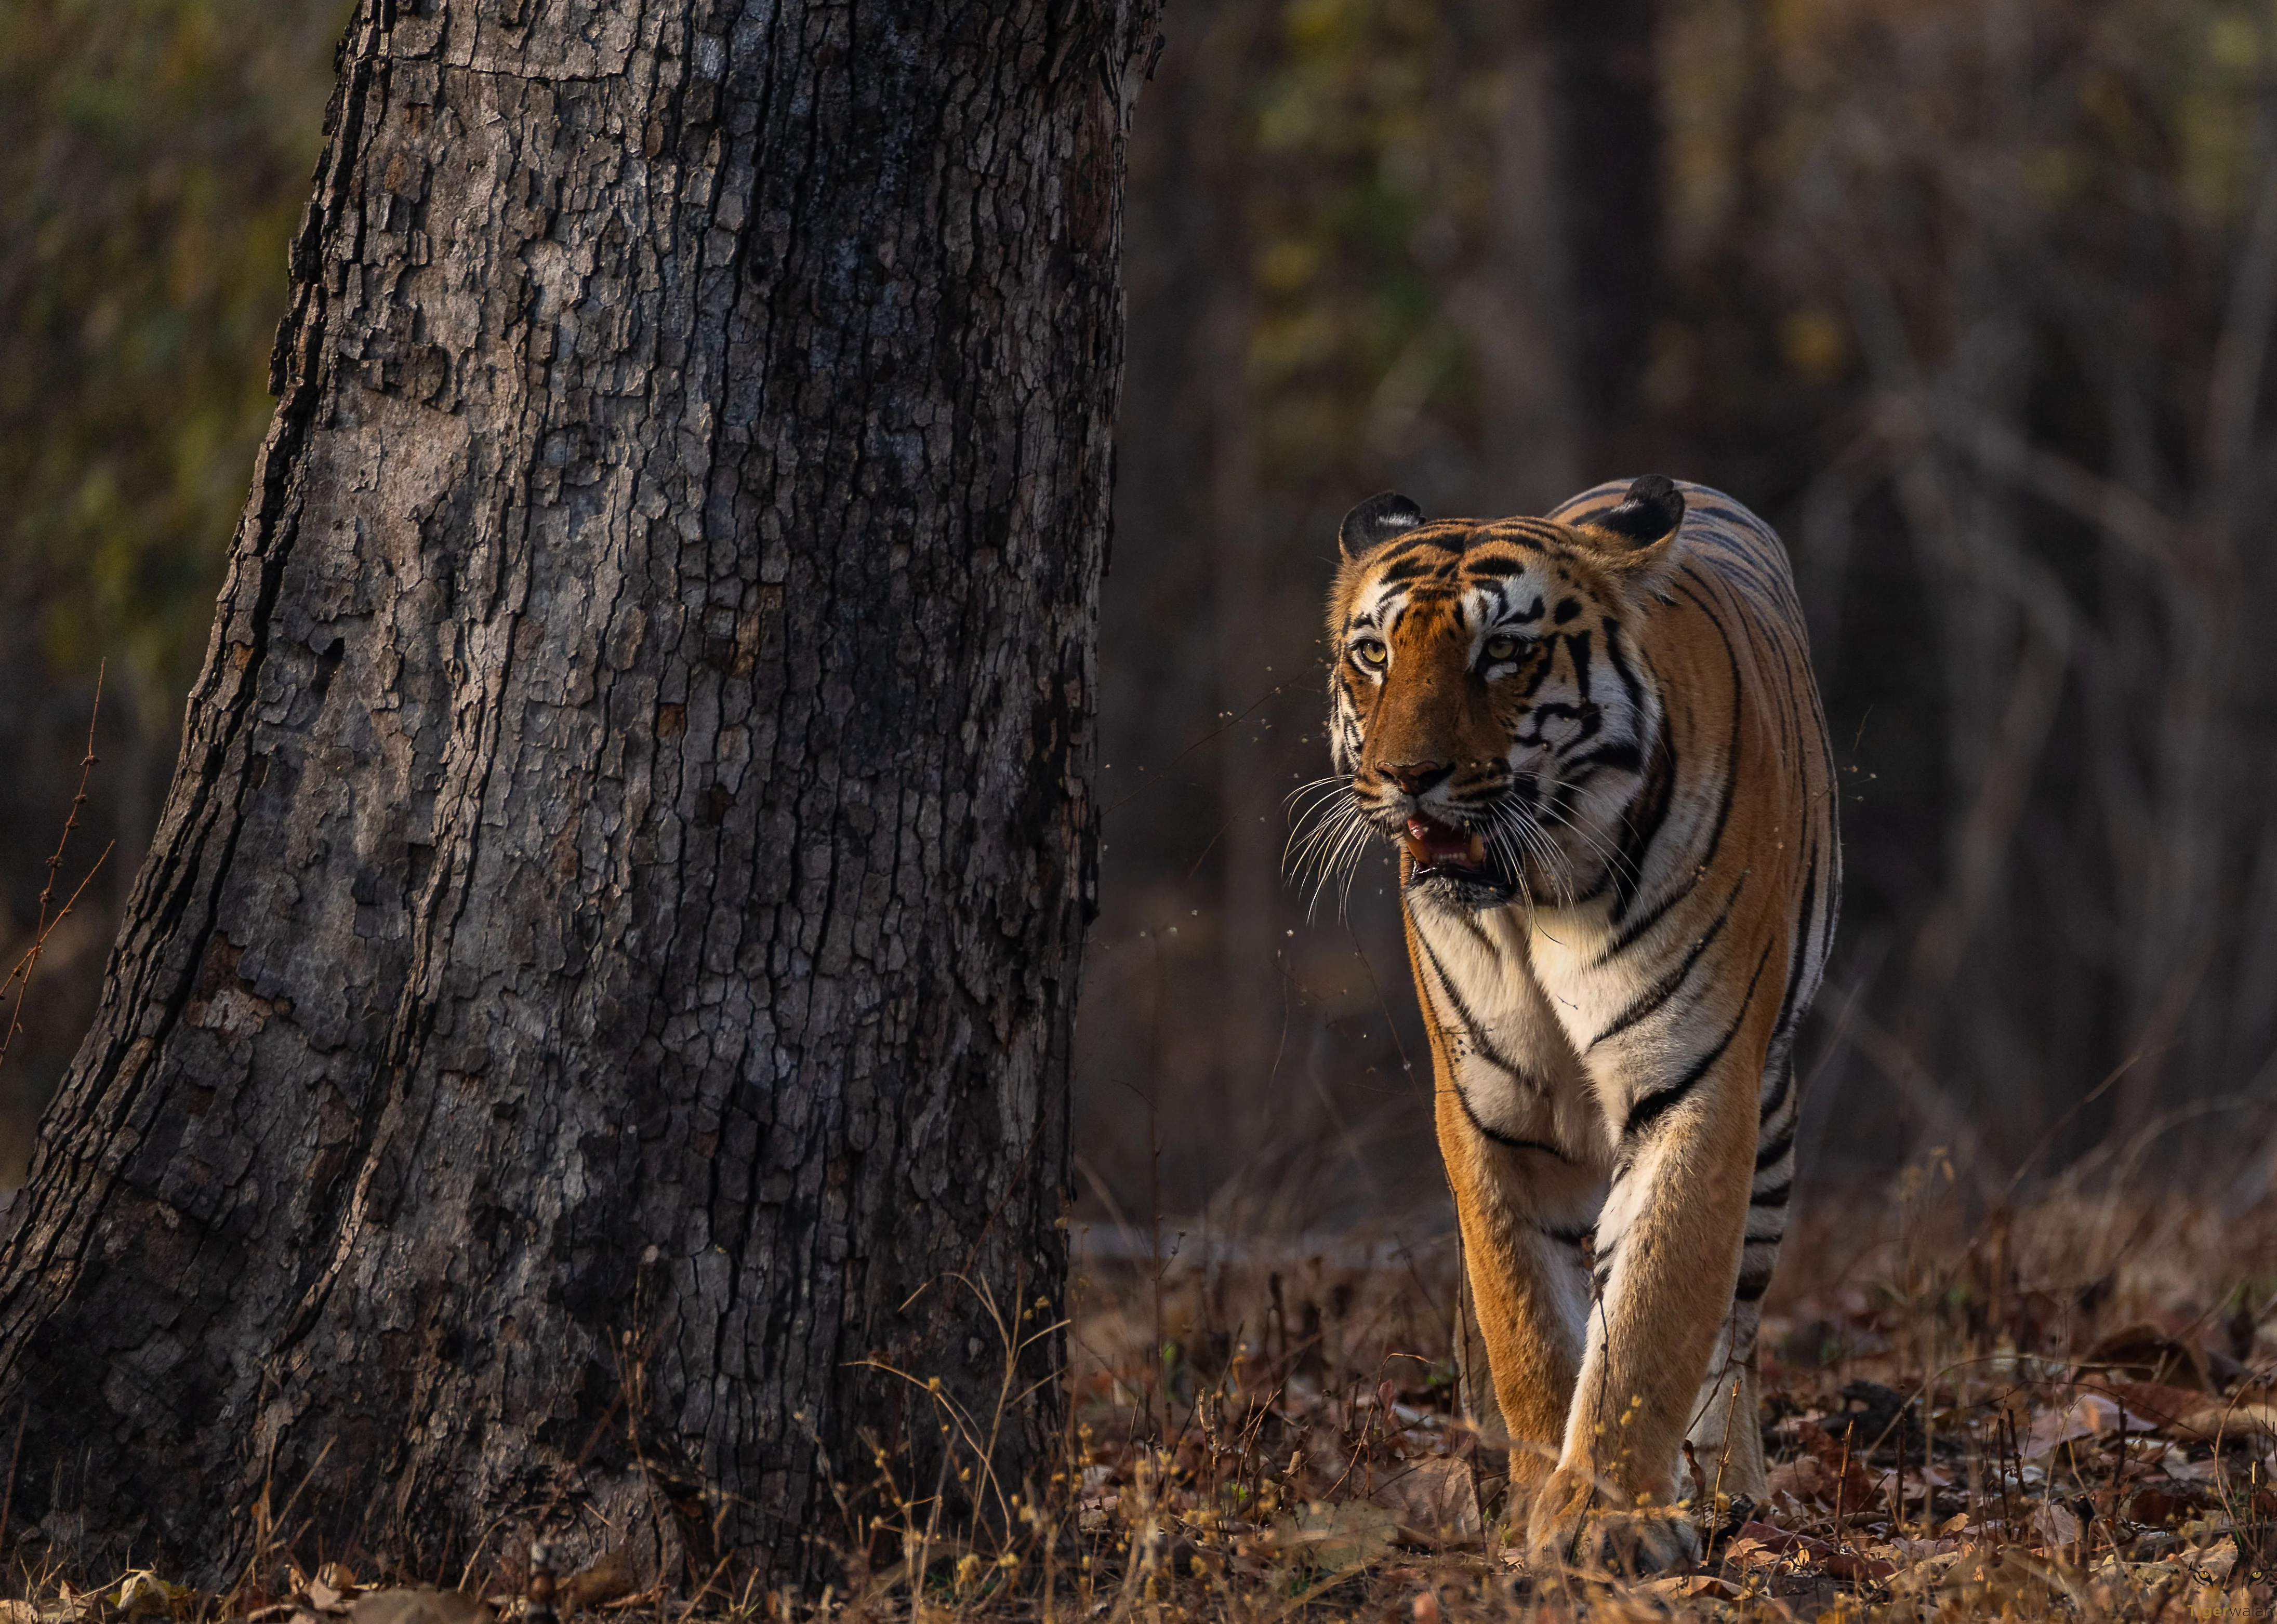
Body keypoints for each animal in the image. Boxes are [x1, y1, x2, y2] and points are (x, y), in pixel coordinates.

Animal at [1298, 475, 1838, 1573]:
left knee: (1735, 1328)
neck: (1541, 895)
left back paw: (1727, 1485)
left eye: (1502, 652)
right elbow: (1526, 1321)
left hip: (1769, 1116)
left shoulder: (1696, 1087)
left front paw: (1604, 1519)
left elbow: (1651, 1315)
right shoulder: (1492, 1111)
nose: (1407, 775)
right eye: (1373, 652)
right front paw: (1537, 1500)